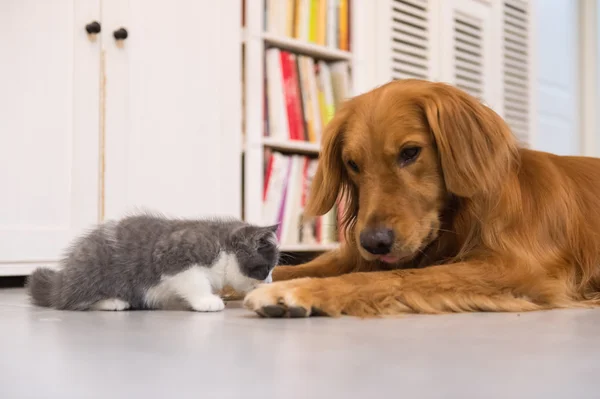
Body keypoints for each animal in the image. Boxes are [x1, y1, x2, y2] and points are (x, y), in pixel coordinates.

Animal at [27, 216, 280, 312]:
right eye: (266, 269)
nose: (270, 281)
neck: (223, 246)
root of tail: (61, 281)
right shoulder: (174, 255)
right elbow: (193, 280)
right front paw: (206, 301)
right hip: (95, 272)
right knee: (71, 302)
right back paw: (111, 302)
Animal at [243, 79, 600, 318]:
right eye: (353, 164)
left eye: (410, 152)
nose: (374, 242)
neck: (461, 219)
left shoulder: (518, 269)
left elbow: (396, 278)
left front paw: (295, 290)